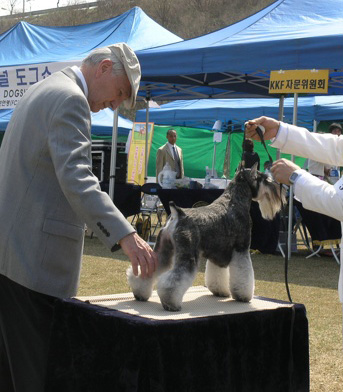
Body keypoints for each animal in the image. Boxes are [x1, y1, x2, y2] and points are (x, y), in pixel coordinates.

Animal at [127, 162, 286, 310]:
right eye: (265, 179)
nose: (280, 191)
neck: (235, 200)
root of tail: (178, 214)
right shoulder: (242, 249)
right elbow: (243, 274)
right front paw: (243, 296)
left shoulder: (218, 252)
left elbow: (218, 274)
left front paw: (219, 291)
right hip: (187, 256)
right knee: (173, 280)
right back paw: (170, 303)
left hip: (163, 251)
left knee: (150, 270)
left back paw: (140, 293)